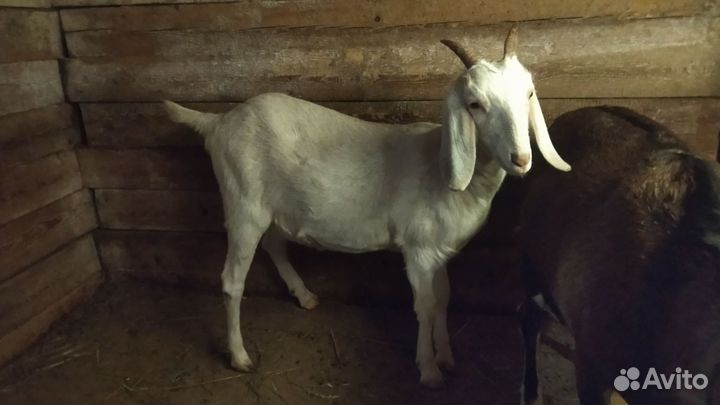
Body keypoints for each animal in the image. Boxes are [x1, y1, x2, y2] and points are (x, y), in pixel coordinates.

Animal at [164, 26, 571, 388]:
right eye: (475, 104)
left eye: (529, 93)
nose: (521, 159)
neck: (440, 170)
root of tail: (217, 121)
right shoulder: (418, 251)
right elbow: (424, 307)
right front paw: (429, 371)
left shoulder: (439, 252)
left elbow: (443, 300)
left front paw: (447, 357)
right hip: (243, 203)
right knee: (232, 280)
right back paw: (240, 356)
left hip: (276, 210)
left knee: (274, 244)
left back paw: (306, 296)